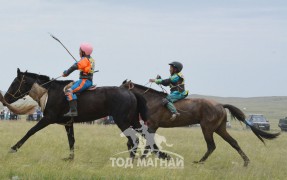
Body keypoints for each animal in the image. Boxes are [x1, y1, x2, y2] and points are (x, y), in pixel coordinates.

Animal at [122, 80, 282, 167]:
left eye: (121, 88)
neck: (150, 101)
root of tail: (221, 105)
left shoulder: (152, 126)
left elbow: (149, 144)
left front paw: (142, 160)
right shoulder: (149, 127)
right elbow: (149, 144)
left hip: (207, 128)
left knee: (211, 146)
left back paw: (199, 162)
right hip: (220, 129)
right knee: (233, 142)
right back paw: (246, 162)